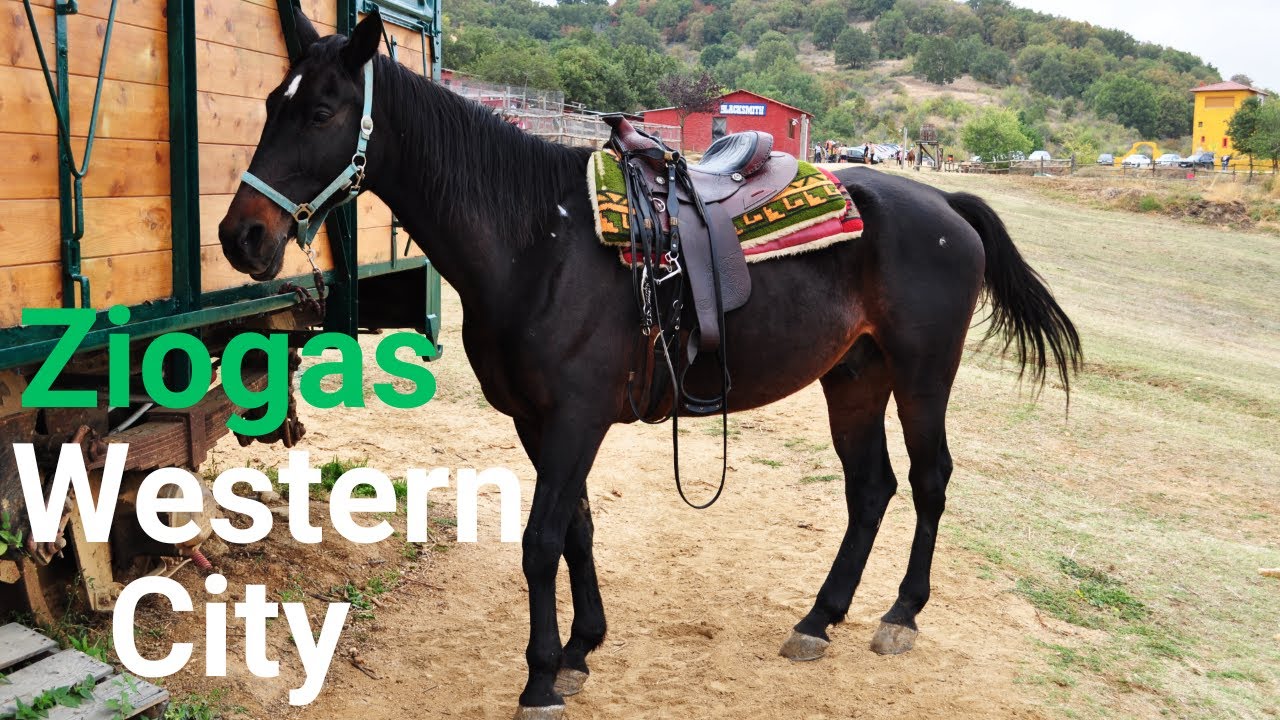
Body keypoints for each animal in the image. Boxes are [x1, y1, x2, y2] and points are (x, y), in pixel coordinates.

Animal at [218, 11, 1081, 718]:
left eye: (322, 111)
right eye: (268, 107)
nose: (241, 237)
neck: (537, 241)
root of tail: (944, 205)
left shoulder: (576, 418)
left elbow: (540, 541)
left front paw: (539, 679)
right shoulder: (541, 422)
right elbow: (577, 530)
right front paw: (579, 651)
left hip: (922, 374)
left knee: (930, 481)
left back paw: (900, 616)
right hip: (855, 378)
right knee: (870, 490)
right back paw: (818, 619)